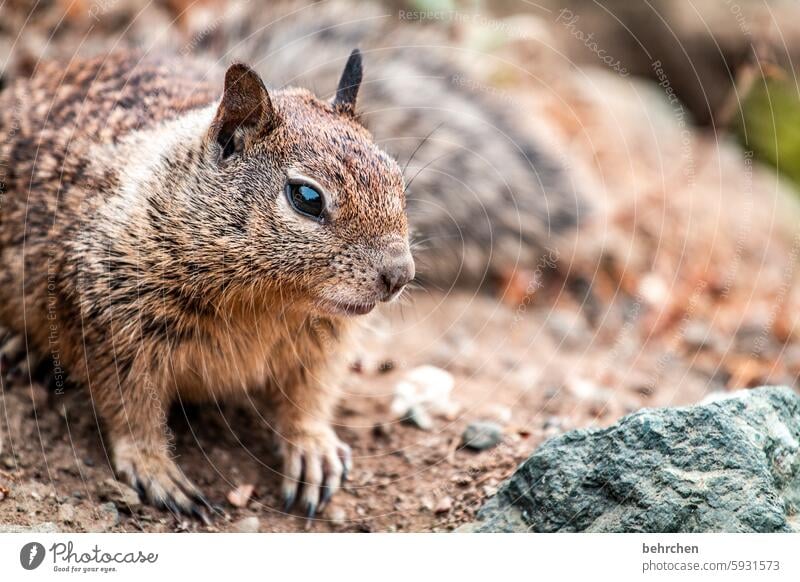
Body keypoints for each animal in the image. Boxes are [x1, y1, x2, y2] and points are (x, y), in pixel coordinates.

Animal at [0, 49, 412, 520]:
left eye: (396, 177)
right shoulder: (112, 328)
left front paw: (313, 449)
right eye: (306, 198)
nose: (401, 274)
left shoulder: (321, 347)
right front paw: (158, 471)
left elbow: (309, 398)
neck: (269, 301)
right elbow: (131, 409)